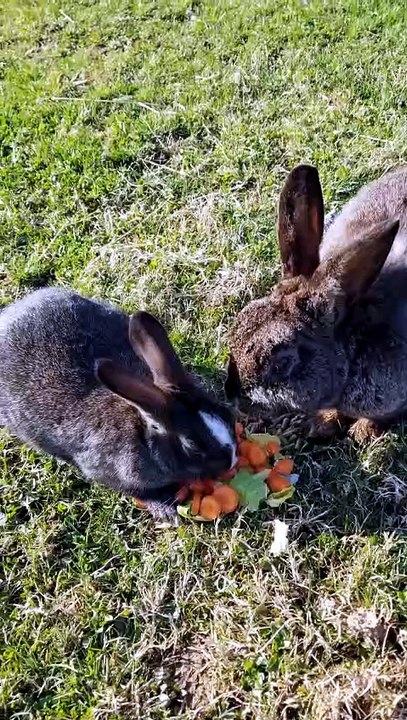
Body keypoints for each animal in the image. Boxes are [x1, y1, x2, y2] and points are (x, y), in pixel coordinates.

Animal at [0, 288, 237, 518]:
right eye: (193, 446)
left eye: (227, 414)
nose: (233, 461)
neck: (141, 433)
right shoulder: (107, 473)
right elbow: (138, 492)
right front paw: (166, 511)